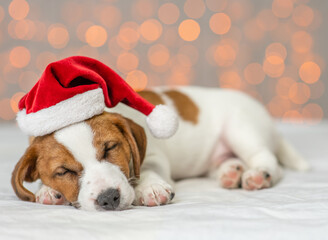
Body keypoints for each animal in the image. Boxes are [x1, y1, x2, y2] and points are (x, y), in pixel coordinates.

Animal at [11, 86, 308, 210]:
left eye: (110, 148)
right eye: (63, 172)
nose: (109, 199)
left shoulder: (153, 155)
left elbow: (147, 169)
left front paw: (150, 187)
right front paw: (47, 190)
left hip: (241, 128)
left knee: (267, 159)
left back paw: (257, 174)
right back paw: (230, 172)